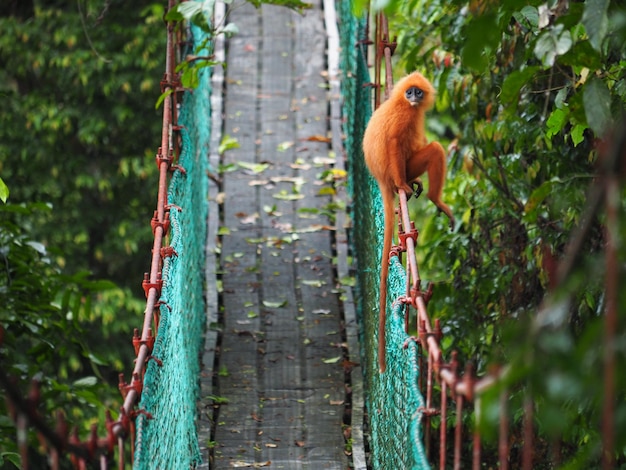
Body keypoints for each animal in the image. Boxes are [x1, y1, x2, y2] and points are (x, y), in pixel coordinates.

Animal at [360, 71, 454, 372]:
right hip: (397, 167)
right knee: (433, 149)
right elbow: (393, 142)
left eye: (418, 92)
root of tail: (380, 178)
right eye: (410, 92)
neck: (406, 106)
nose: (413, 98)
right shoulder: (402, 117)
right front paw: (405, 185)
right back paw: (428, 195)